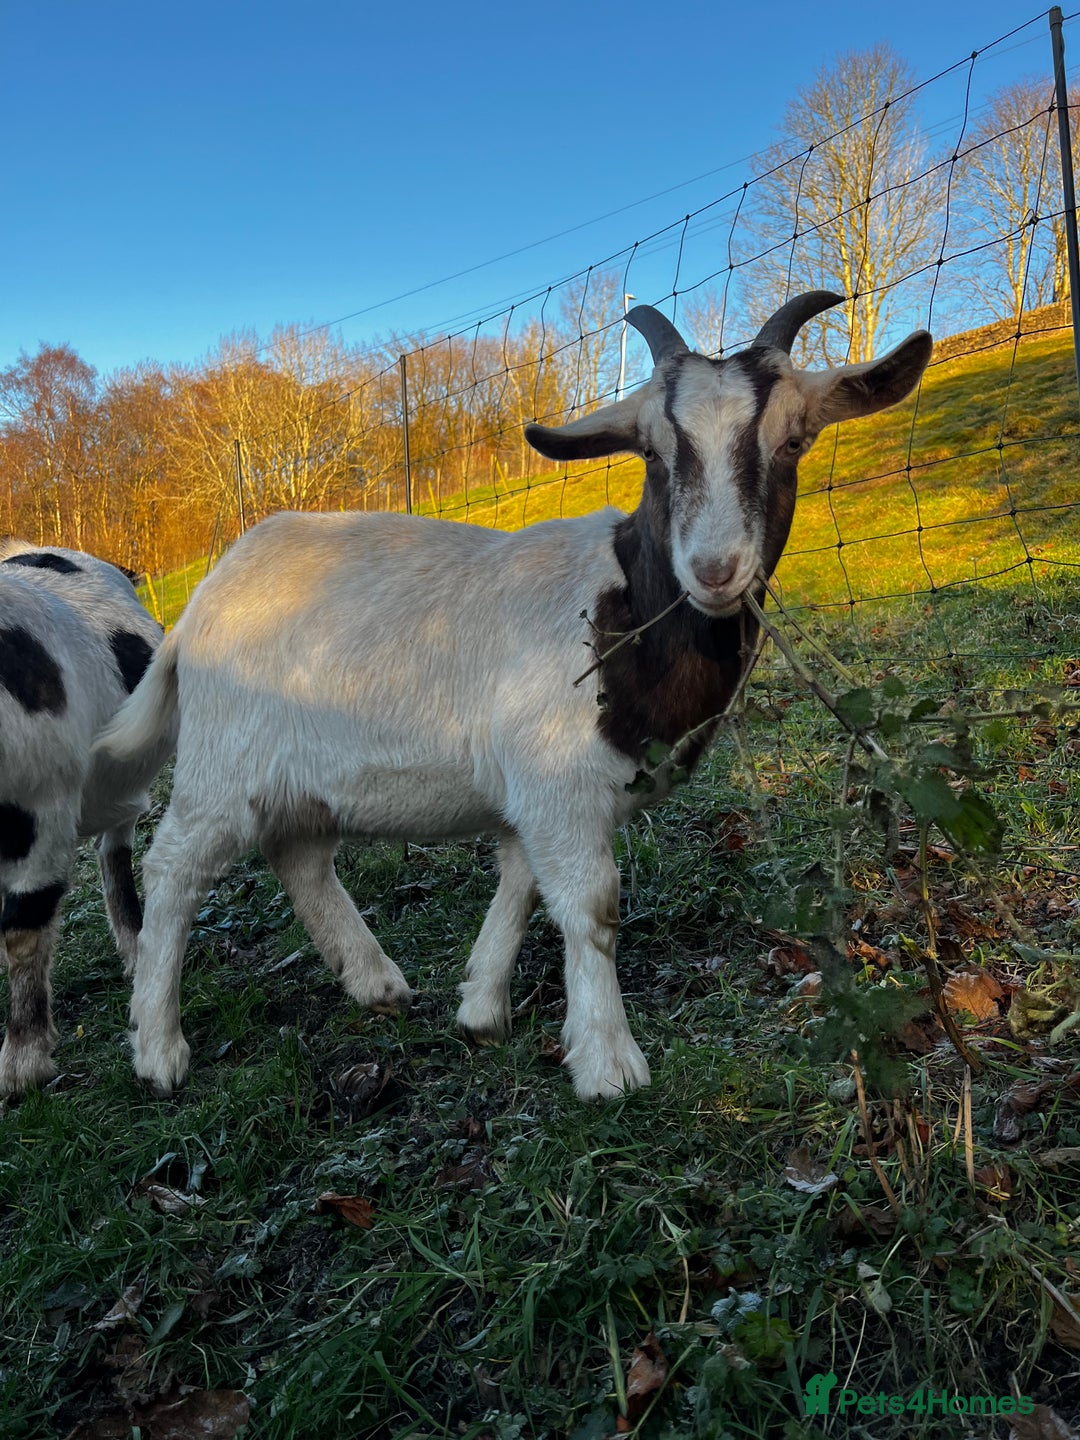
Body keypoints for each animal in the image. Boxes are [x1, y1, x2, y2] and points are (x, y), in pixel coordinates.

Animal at [95, 292, 932, 1099]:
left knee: (298, 857)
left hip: (297, 780)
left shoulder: (539, 792)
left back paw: (377, 984)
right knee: (174, 870)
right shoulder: (557, 778)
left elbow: (523, 883)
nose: (716, 569)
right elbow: (591, 904)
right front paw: (607, 1065)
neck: (625, 609)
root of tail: (202, 600)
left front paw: (481, 1010)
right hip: (221, 762)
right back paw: (158, 1049)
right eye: (653, 454)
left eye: (793, 442)